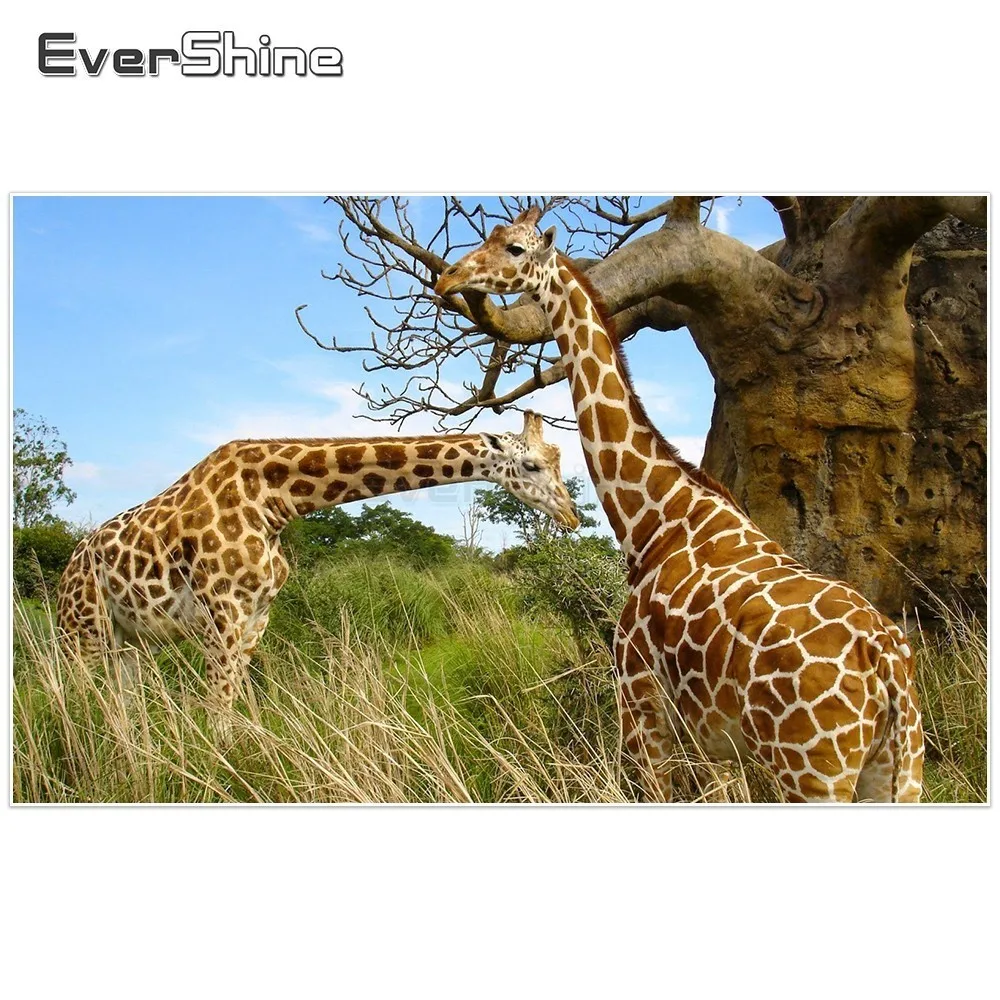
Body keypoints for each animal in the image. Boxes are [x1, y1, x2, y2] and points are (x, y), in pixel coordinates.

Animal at [56, 411, 578, 733]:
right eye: (531, 465)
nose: (572, 516)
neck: (273, 502)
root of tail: (68, 568)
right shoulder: (222, 611)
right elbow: (218, 711)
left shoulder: (256, 616)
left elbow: (238, 707)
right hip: (81, 633)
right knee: (76, 699)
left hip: (128, 640)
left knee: (122, 705)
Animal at [435, 206, 924, 803]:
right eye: (491, 235)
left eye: (515, 249)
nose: (448, 278)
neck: (656, 517)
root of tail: (887, 668)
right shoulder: (712, 738)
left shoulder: (640, 699)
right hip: (898, 770)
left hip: (813, 772)